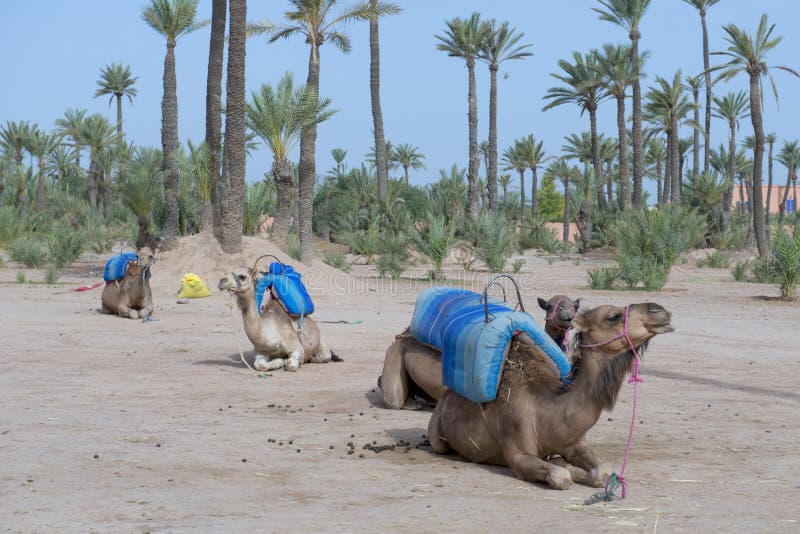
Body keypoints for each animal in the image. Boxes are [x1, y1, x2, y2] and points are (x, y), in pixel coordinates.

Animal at [378, 296, 580, 412]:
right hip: (394, 354)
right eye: (550, 306)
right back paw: (413, 403)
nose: (568, 313)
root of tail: (403, 334)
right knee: (394, 397)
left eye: (575, 306)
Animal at [428, 304, 672, 492]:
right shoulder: (517, 453)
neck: (546, 409)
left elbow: (601, 472)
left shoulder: (574, 442)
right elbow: (561, 477)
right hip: (436, 436)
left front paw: (572, 467)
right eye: (613, 316)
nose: (660, 310)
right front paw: (566, 470)